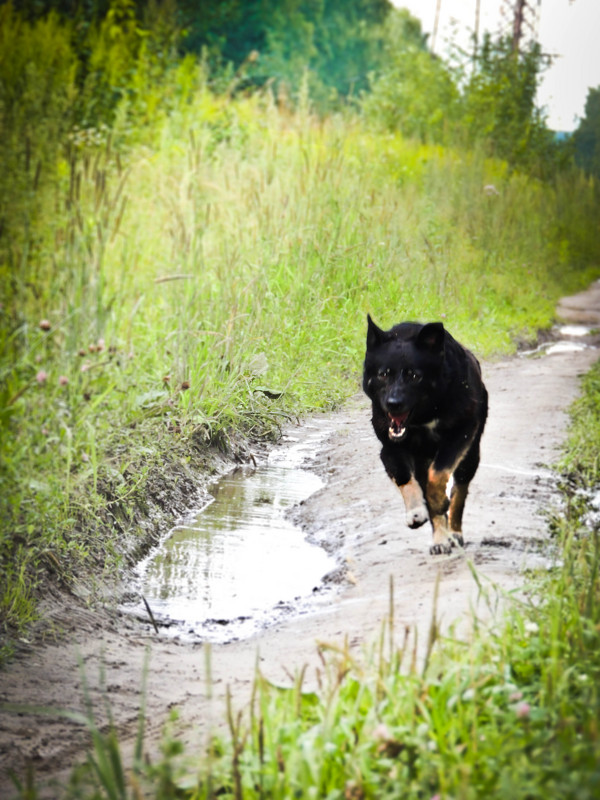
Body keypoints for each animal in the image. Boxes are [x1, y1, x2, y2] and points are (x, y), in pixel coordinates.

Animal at [364, 316, 486, 552]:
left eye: (413, 375)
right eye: (383, 374)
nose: (393, 404)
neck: (424, 415)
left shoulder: (460, 433)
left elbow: (437, 476)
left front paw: (438, 500)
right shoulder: (390, 447)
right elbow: (404, 476)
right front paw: (416, 511)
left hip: (471, 453)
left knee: (460, 489)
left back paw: (454, 531)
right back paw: (440, 539)